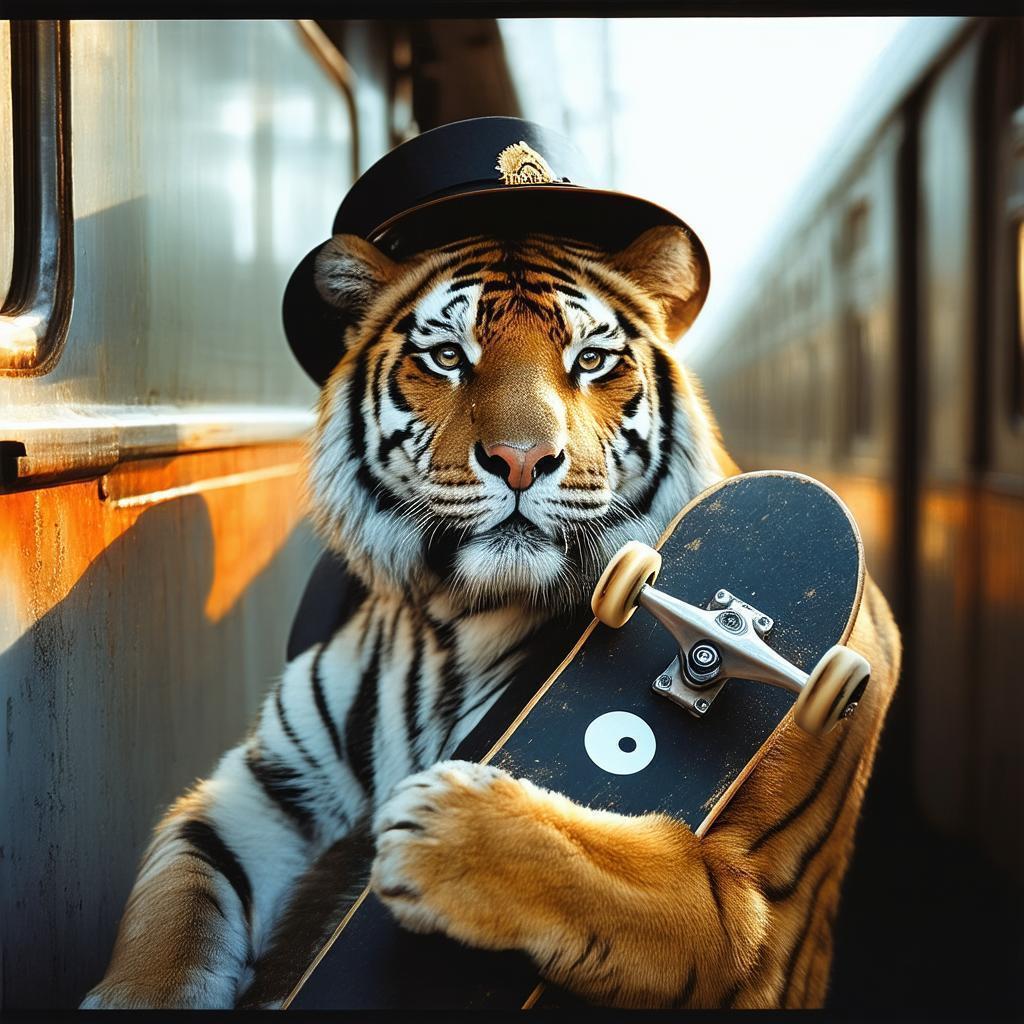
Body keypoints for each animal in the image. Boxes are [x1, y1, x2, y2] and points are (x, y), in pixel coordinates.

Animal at [81, 224, 900, 1010]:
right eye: (448, 356)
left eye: (592, 360)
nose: (521, 459)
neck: (458, 622)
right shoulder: (262, 792)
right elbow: (174, 913)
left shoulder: (764, 938)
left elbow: (660, 886)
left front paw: (454, 835)